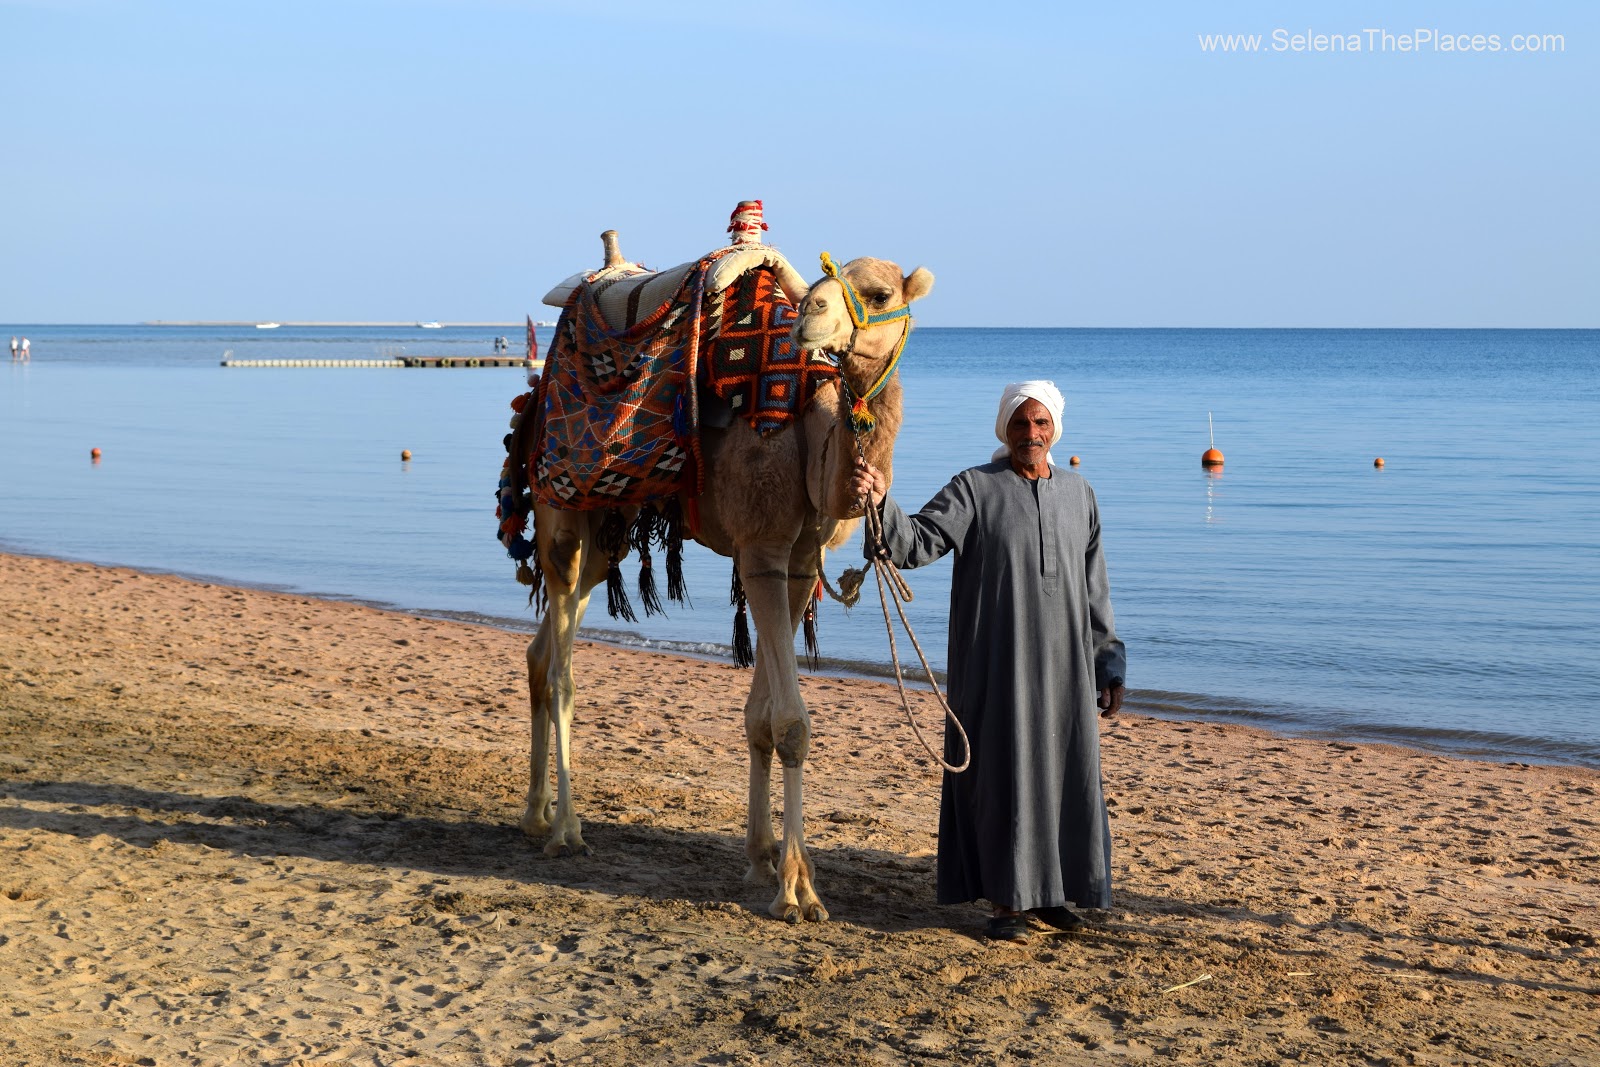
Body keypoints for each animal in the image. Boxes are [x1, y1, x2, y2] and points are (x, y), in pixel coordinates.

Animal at [512, 223, 934, 921]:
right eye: (826, 278)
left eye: (877, 293)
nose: (811, 317)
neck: (814, 438)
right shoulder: (762, 548)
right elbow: (791, 725)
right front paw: (797, 890)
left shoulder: (797, 564)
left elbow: (761, 718)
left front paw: (762, 860)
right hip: (562, 514)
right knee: (563, 667)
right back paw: (567, 829)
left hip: (610, 533)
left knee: (541, 654)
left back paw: (536, 815)